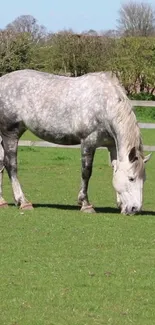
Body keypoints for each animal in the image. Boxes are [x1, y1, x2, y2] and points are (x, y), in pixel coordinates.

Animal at [0, 69, 151, 214]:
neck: (104, 105)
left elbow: (114, 170)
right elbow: (86, 172)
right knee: (10, 165)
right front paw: (85, 204)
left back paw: (2, 202)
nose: (135, 209)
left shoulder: (112, 146)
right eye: (131, 178)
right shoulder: (88, 143)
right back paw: (23, 201)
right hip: (10, 134)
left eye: (144, 179)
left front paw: (120, 204)